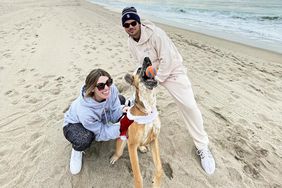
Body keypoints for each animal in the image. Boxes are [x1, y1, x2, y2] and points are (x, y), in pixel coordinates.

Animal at [110, 57, 163, 188]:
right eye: (139, 69)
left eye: (150, 62)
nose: (147, 59)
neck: (147, 110)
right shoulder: (132, 145)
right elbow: (138, 176)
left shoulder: (154, 139)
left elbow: (159, 168)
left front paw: (156, 182)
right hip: (123, 143)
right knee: (118, 152)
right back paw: (114, 157)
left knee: (142, 144)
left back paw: (143, 147)